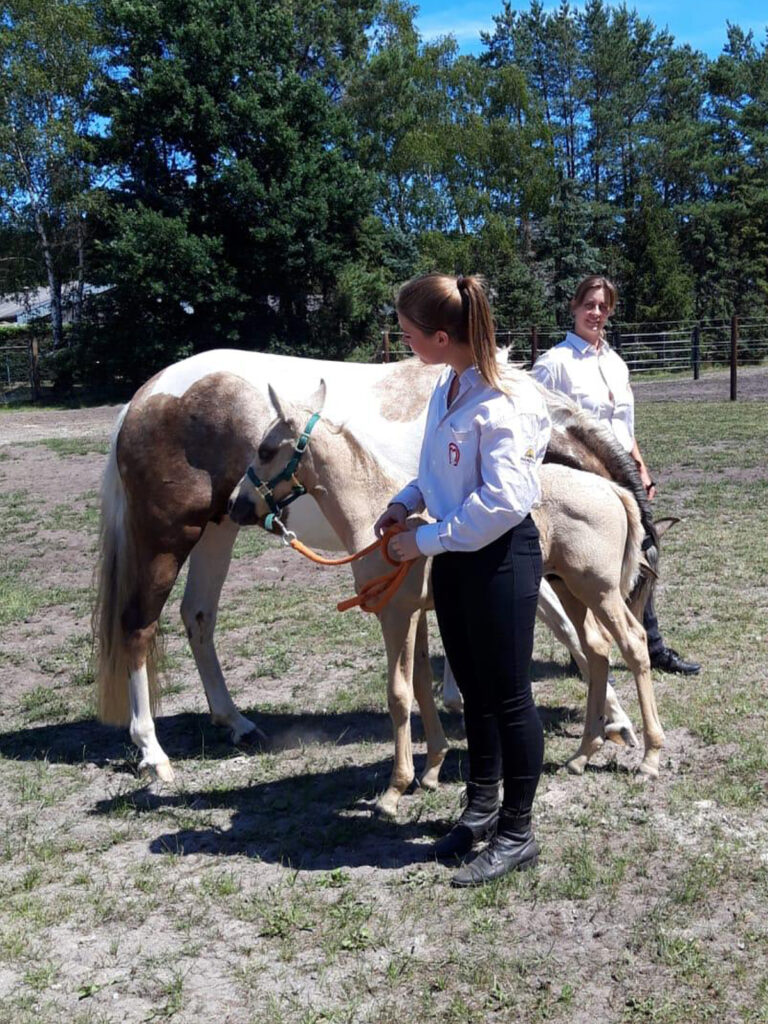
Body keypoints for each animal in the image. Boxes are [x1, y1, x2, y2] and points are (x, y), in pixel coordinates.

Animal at [230, 376, 667, 815]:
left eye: (265, 450)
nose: (236, 506)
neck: (373, 518)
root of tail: (611, 489)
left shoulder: (396, 615)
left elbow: (399, 694)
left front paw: (394, 790)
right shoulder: (418, 614)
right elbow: (422, 684)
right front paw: (431, 770)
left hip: (599, 589)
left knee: (633, 644)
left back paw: (650, 757)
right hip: (571, 588)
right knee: (596, 649)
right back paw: (582, 754)